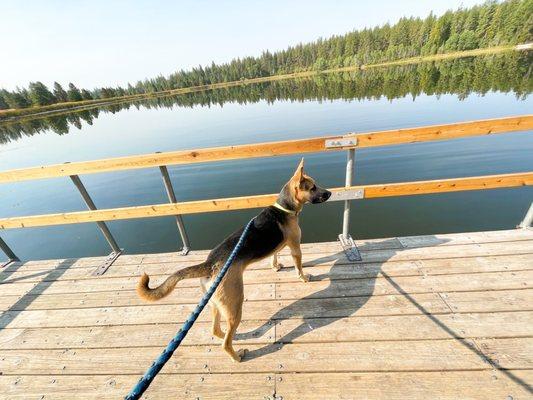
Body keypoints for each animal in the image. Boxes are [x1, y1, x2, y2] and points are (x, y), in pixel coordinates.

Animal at [137, 159, 328, 362]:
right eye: (313, 187)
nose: (330, 193)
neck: (285, 207)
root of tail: (210, 264)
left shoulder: (280, 245)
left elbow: (275, 255)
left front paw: (276, 266)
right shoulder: (295, 246)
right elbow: (298, 266)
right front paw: (304, 277)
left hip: (215, 304)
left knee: (216, 330)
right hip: (235, 305)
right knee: (225, 343)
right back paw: (238, 355)